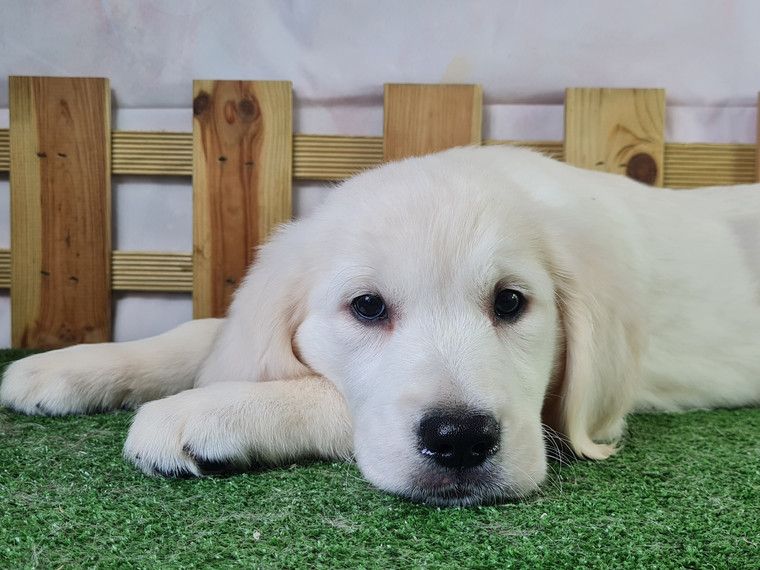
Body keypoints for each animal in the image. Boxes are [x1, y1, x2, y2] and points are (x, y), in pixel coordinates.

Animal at [2, 146, 759, 506]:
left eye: (511, 302)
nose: (461, 441)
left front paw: (207, 411)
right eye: (367, 307)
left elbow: (328, 395)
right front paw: (66, 366)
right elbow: (208, 333)